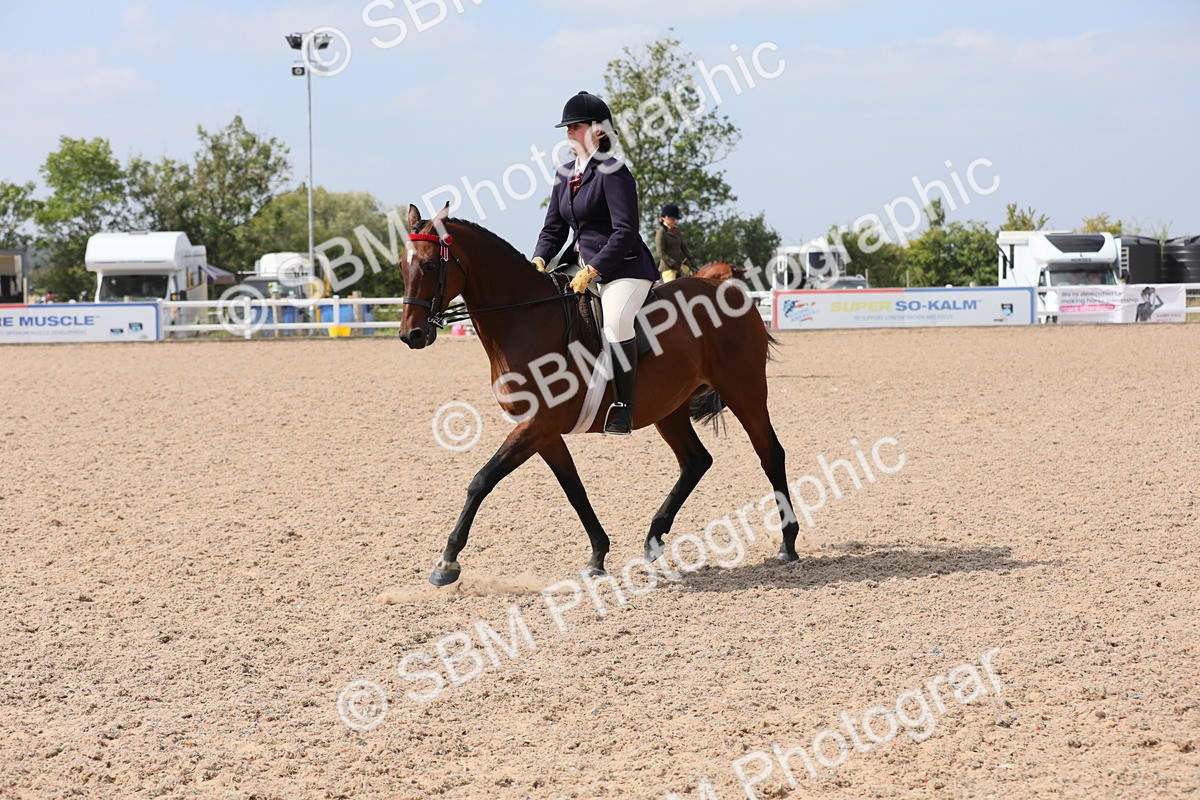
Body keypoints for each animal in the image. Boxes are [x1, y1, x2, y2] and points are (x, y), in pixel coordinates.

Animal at [399, 203, 800, 586]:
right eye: (403, 266)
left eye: (432, 265)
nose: (410, 335)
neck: (523, 320)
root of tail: (735, 296)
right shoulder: (543, 431)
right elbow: (574, 489)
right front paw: (597, 556)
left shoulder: (536, 425)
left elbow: (481, 480)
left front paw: (447, 562)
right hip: (669, 410)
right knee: (696, 460)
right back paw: (654, 538)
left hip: (744, 392)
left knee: (770, 453)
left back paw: (788, 542)